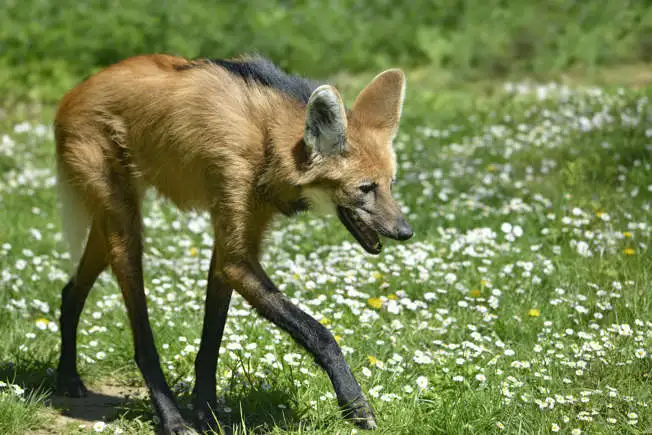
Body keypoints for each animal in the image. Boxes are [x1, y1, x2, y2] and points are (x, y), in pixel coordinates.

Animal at [56, 53, 412, 432]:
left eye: (391, 184)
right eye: (365, 189)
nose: (406, 231)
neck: (268, 141)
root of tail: (74, 92)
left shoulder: (234, 243)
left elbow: (212, 337)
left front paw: (206, 411)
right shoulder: (236, 245)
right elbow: (319, 333)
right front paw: (356, 404)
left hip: (110, 220)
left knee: (71, 290)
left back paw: (67, 377)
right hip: (125, 224)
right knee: (141, 336)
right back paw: (170, 418)